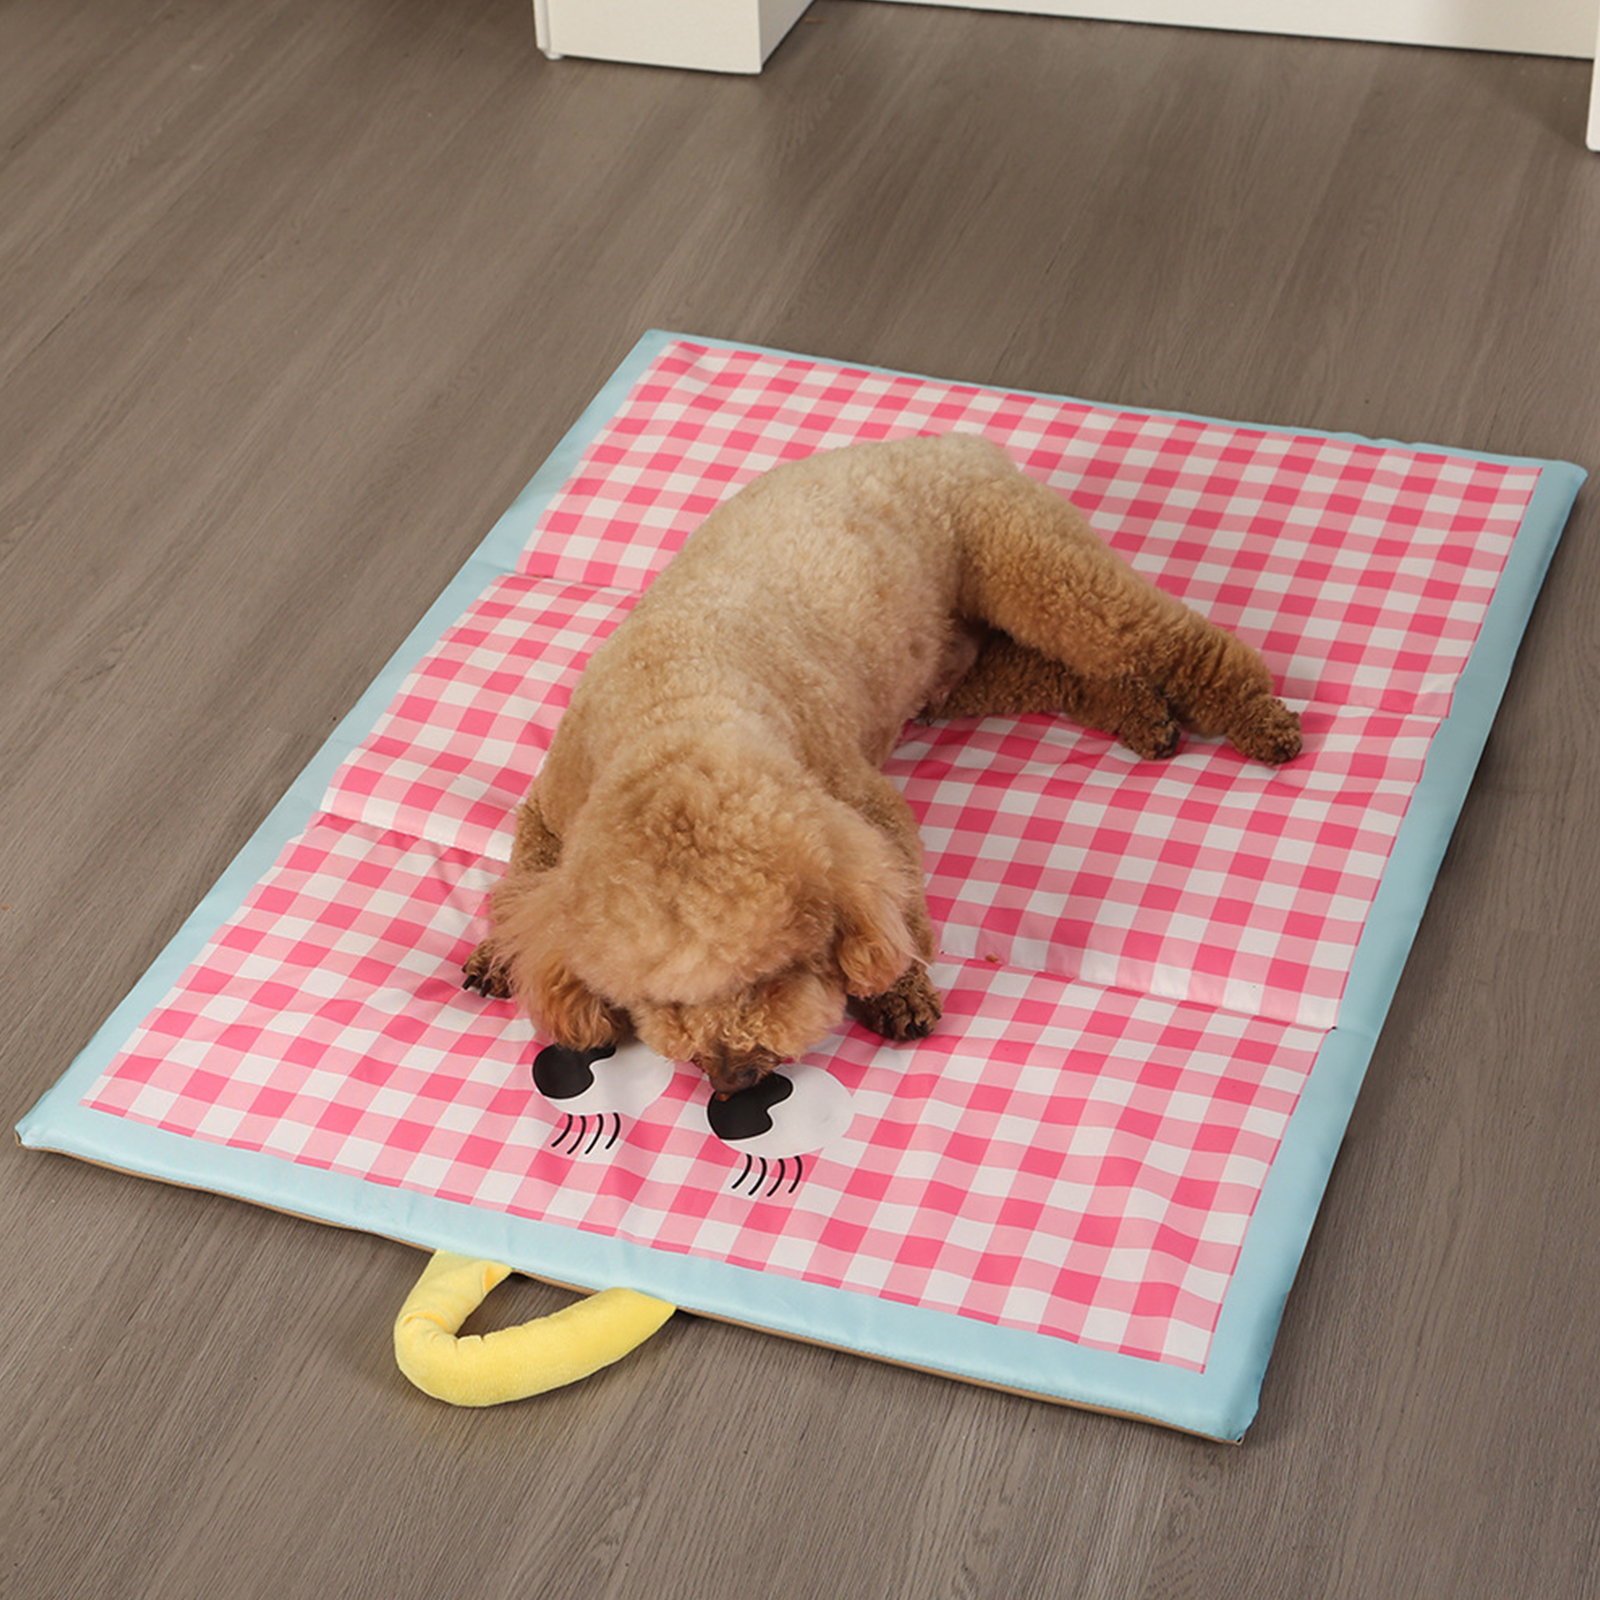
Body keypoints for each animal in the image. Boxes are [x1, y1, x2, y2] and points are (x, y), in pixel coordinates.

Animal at [463, 434, 1301, 1096]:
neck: (669, 710)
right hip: (967, 671)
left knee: (1165, 639)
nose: (736, 1080)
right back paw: (1145, 719)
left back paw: (1259, 720)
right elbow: (523, 880)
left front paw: (898, 990)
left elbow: (894, 906)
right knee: (1071, 675)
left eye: (775, 975)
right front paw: (497, 955)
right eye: (664, 1002)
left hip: (1034, 565)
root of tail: (952, 438)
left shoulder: (860, 808)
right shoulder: (552, 807)